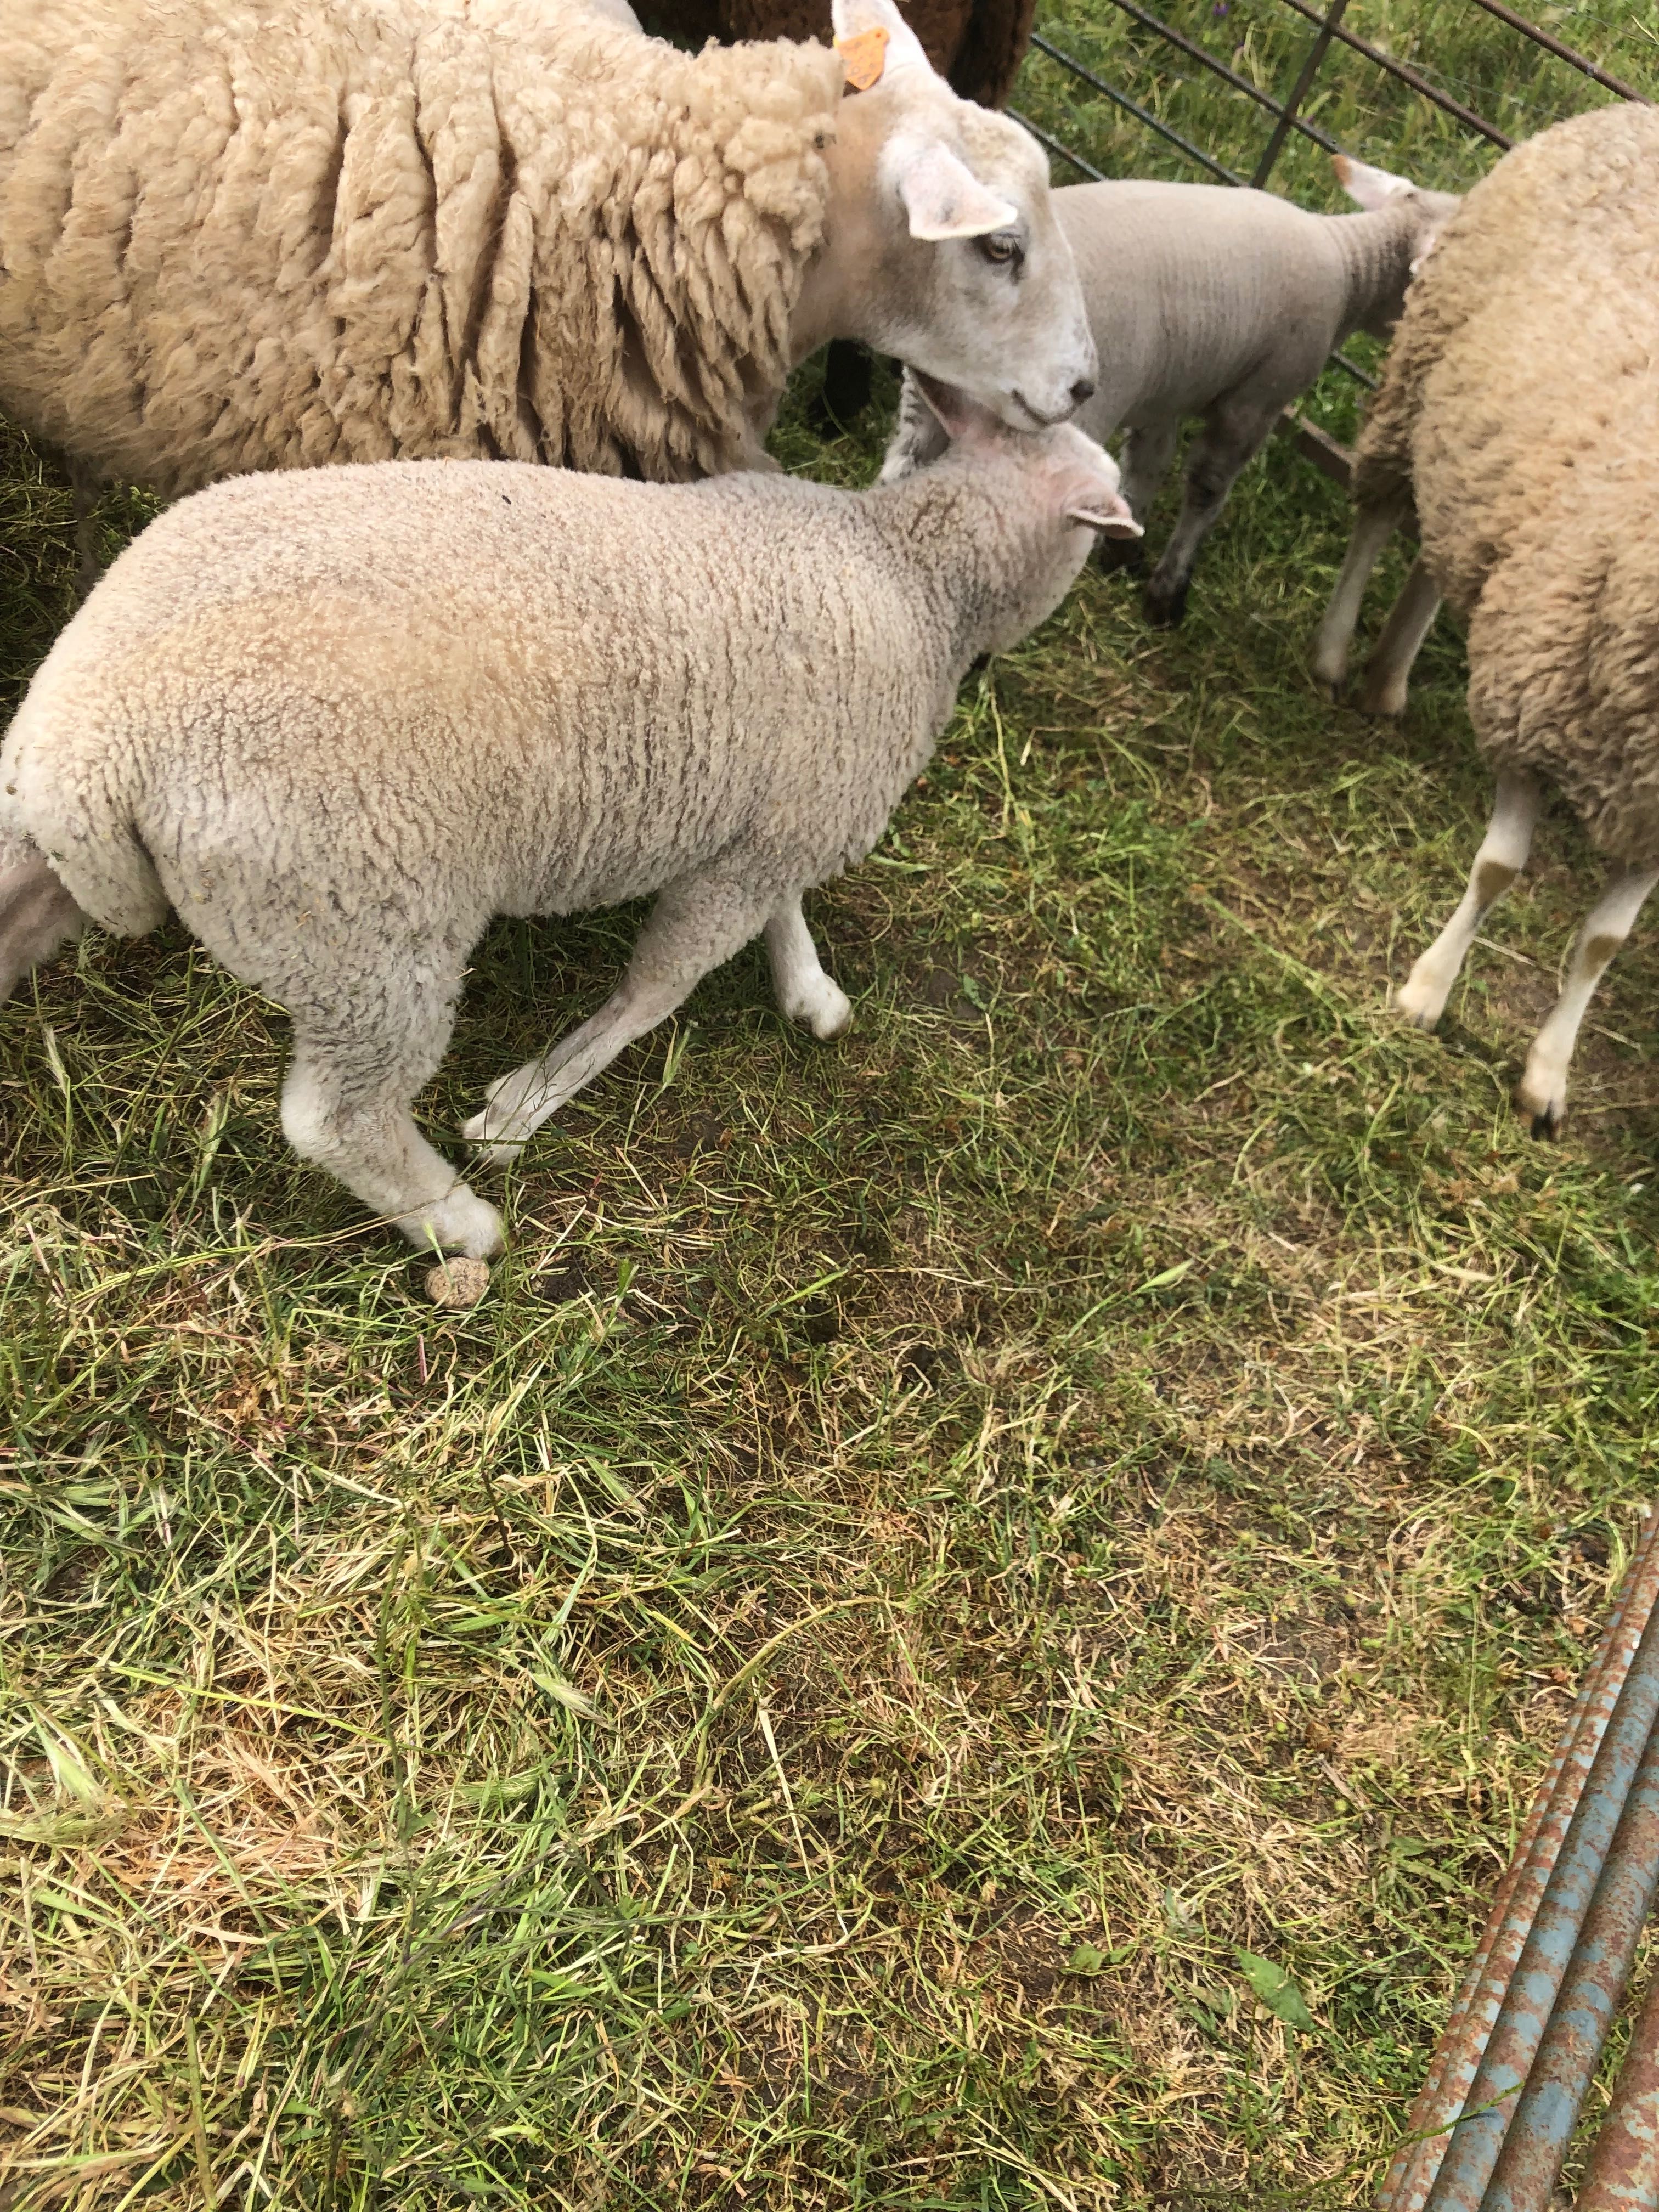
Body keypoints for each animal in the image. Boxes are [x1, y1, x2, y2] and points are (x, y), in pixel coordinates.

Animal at [0, 382, 1141, 1265]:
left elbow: (779, 910)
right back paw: (457, 1220)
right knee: (338, 1120)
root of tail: (91, 748)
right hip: (364, 931)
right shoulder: (765, 840)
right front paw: (521, 1108)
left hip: (73, 850)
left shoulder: (777, 821)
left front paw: (807, 987)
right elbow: (657, 989)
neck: (912, 573)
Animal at [876, 158, 1460, 624]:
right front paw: (1168, 593)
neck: (1350, 265)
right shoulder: (1258, 398)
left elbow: (1148, 462)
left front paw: (1125, 548)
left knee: (902, 469)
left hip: (927, 394)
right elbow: (1206, 488)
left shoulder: (1168, 389)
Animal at [1327, 104, 1659, 1132]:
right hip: (1417, 387)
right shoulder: (1528, 715)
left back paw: (1389, 675)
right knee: (1378, 517)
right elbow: (1498, 872)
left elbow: (1603, 945)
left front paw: (1547, 1078)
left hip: (1489, 467)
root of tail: (1628, 110)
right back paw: (1334, 654)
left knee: (1439, 557)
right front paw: (1425, 992)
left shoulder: (1653, 816)